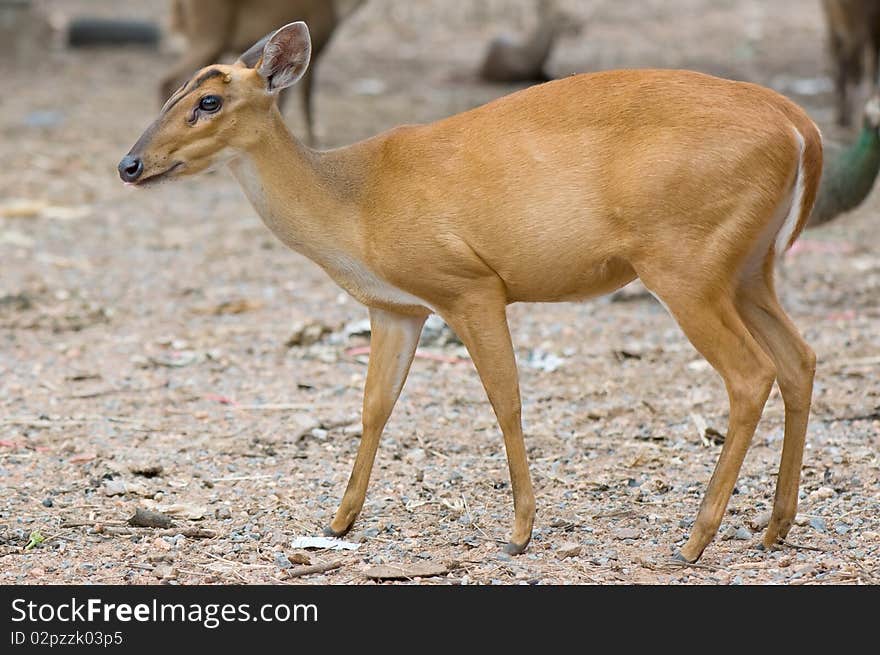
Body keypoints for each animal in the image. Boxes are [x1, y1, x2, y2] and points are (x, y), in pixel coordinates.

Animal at [120, 21, 820, 564]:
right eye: (173, 92)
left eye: (209, 101)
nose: (129, 164)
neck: (354, 208)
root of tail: (800, 126)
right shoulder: (397, 307)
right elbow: (374, 407)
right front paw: (338, 522)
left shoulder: (469, 284)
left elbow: (505, 401)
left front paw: (520, 532)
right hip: (749, 265)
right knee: (800, 359)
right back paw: (773, 528)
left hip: (685, 260)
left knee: (750, 373)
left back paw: (694, 541)